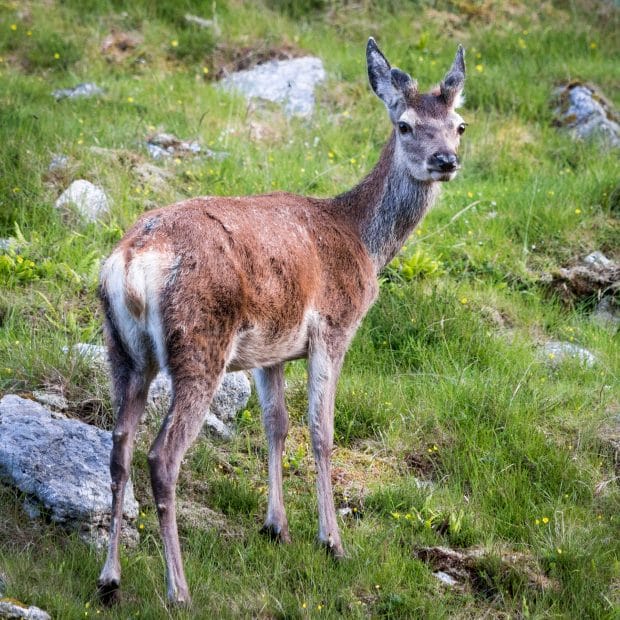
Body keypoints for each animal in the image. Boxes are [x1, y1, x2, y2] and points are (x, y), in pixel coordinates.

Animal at [97, 38, 464, 604]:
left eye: (460, 125)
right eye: (404, 125)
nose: (445, 160)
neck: (364, 242)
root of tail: (133, 262)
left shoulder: (268, 352)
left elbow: (276, 424)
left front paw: (276, 526)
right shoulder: (333, 327)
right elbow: (320, 431)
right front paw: (331, 541)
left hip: (123, 350)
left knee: (119, 446)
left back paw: (110, 577)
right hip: (198, 345)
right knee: (162, 456)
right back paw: (179, 589)